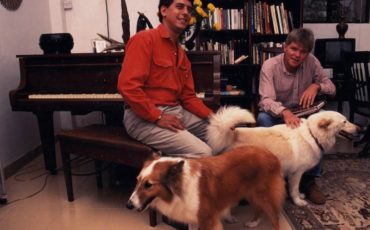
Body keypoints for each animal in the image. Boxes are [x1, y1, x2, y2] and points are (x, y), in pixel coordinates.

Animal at [207, 107, 360, 206]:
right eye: (345, 121)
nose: (360, 128)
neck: (313, 134)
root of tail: (232, 135)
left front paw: (300, 196)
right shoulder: (297, 173)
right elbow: (294, 189)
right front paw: (298, 201)